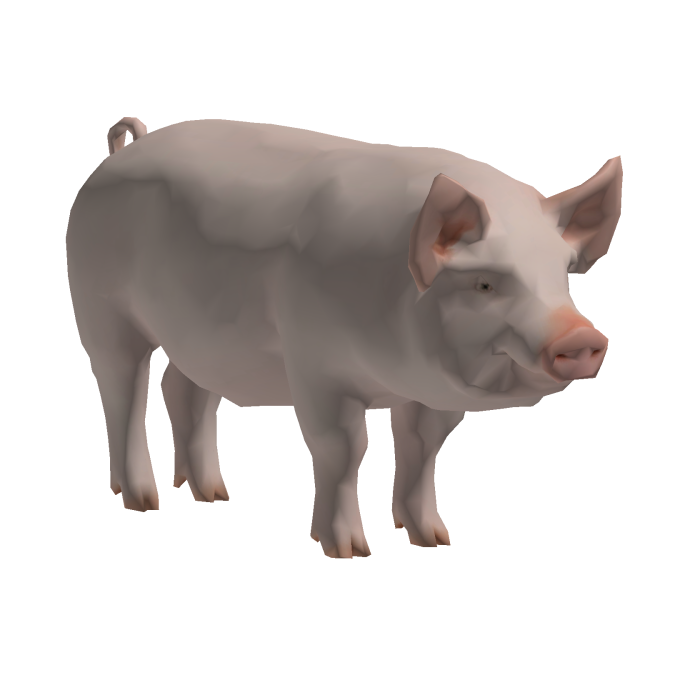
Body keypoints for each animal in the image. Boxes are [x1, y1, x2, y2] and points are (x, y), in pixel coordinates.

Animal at [66, 117, 622, 559]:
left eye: (563, 276)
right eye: (485, 284)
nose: (580, 337)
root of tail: (125, 149)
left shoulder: (429, 396)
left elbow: (423, 446)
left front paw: (434, 540)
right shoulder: (315, 365)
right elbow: (344, 447)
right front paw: (349, 551)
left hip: (200, 338)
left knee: (183, 391)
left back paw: (213, 494)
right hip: (101, 311)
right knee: (124, 393)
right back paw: (143, 500)